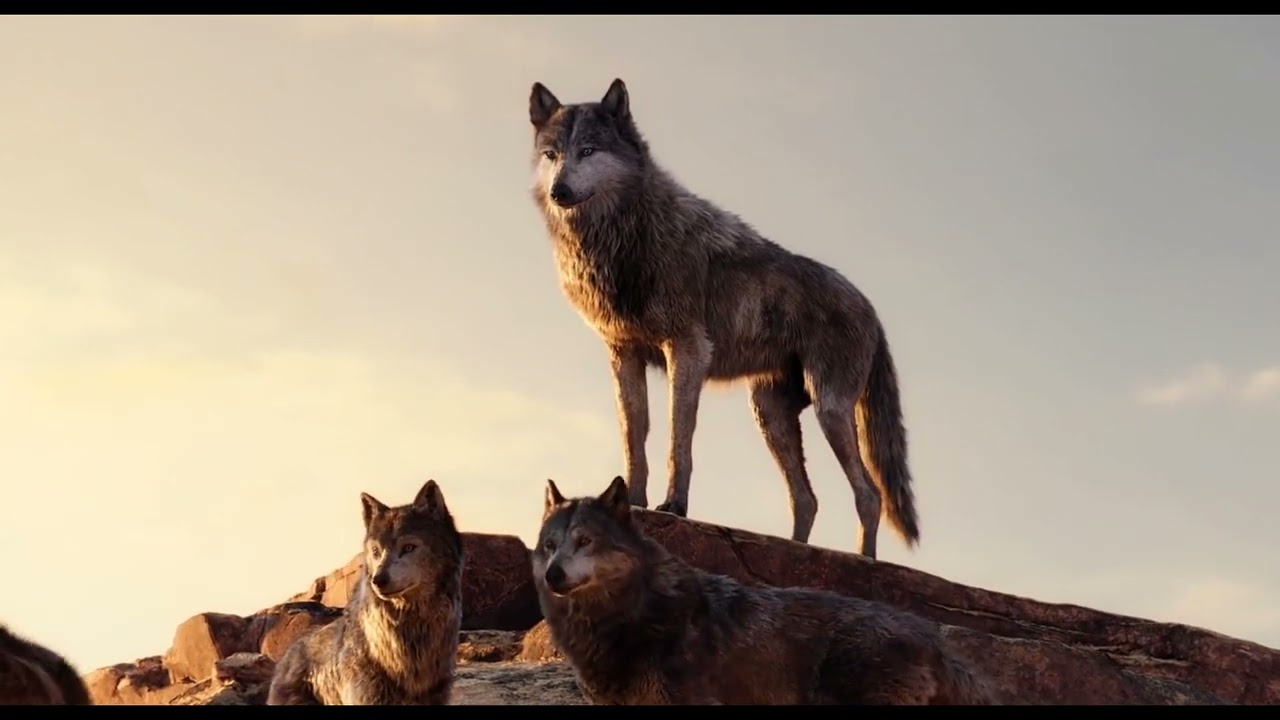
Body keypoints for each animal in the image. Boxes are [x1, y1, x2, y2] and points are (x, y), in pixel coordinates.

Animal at [527, 78, 918, 559]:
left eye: (588, 150)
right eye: (552, 154)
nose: (559, 191)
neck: (623, 236)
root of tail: (871, 308)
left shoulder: (687, 349)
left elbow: (678, 436)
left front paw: (674, 506)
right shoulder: (623, 353)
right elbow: (635, 436)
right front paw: (632, 503)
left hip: (830, 409)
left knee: (870, 494)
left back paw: (863, 561)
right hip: (770, 415)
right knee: (807, 499)